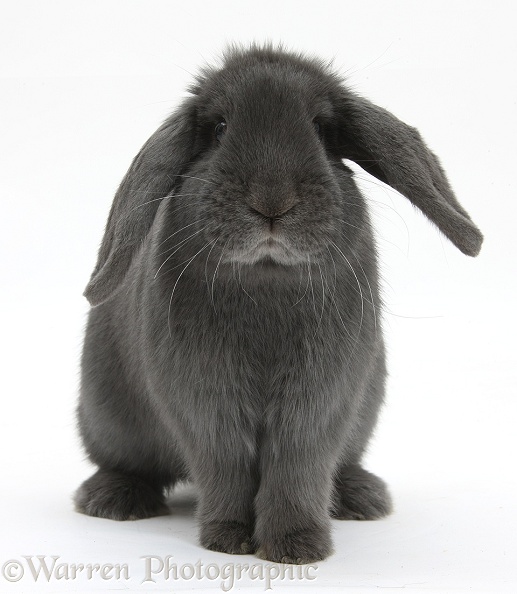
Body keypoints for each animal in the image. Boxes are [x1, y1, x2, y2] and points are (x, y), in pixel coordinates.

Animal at [73, 44, 484, 560]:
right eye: (219, 128)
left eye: (321, 129)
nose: (272, 201)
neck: (266, 279)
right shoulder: (207, 404)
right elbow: (226, 467)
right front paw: (228, 538)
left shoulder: (318, 401)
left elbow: (297, 467)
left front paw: (297, 546)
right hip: (106, 417)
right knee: (124, 463)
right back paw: (114, 500)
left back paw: (363, 498)